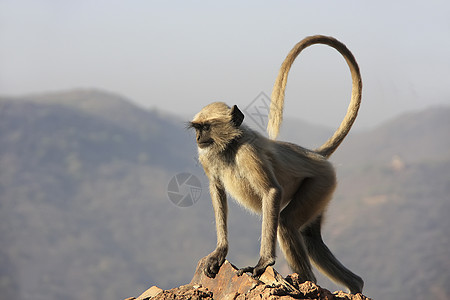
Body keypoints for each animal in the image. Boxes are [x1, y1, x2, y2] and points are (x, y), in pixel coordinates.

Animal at [188, 34, 364, 292]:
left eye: (206, 127)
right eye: (197, 129)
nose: (198, 138)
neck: (230, 147)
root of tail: (315, 154)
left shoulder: (248, 153)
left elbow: (271, 192)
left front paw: (263, 262)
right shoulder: (207, 157)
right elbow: (217, 190)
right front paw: (220, 252)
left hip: (320, 182)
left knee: (286, 223)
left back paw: (307, 280)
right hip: (323, 189)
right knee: (310, 238)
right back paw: (354, 283)